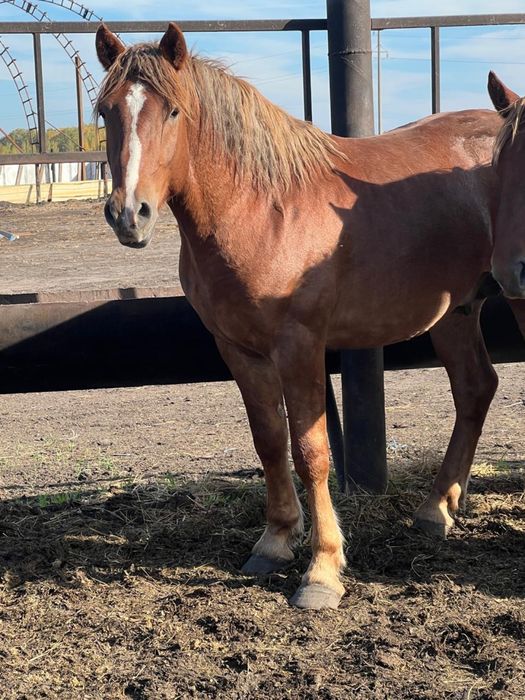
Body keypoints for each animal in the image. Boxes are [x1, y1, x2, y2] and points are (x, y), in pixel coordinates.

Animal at [95, 22, 523, 610]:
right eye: (104, 111)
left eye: (174, 111)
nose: (128, 214)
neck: (262, 208)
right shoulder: (239, 348)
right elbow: (270, 440)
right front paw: (275, 541)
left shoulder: (299, 345)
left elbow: (310, 450)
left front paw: (322, 570)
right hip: (455, 312)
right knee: (476, 388)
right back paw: (436, 508)